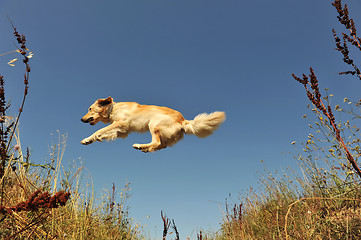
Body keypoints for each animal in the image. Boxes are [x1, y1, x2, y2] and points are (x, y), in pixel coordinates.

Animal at [81, 97, 225, 152]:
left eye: (90, 109)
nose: (81, 119)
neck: (113, 108)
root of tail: (183, 120)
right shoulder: (122, 131)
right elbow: (104, 133)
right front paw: (92, 140)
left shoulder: (121, 123)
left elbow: (100, 130)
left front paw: (89, 138)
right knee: (162, 145)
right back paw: (146, 149)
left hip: (153, 123)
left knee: (157, 142)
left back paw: (140, 146)